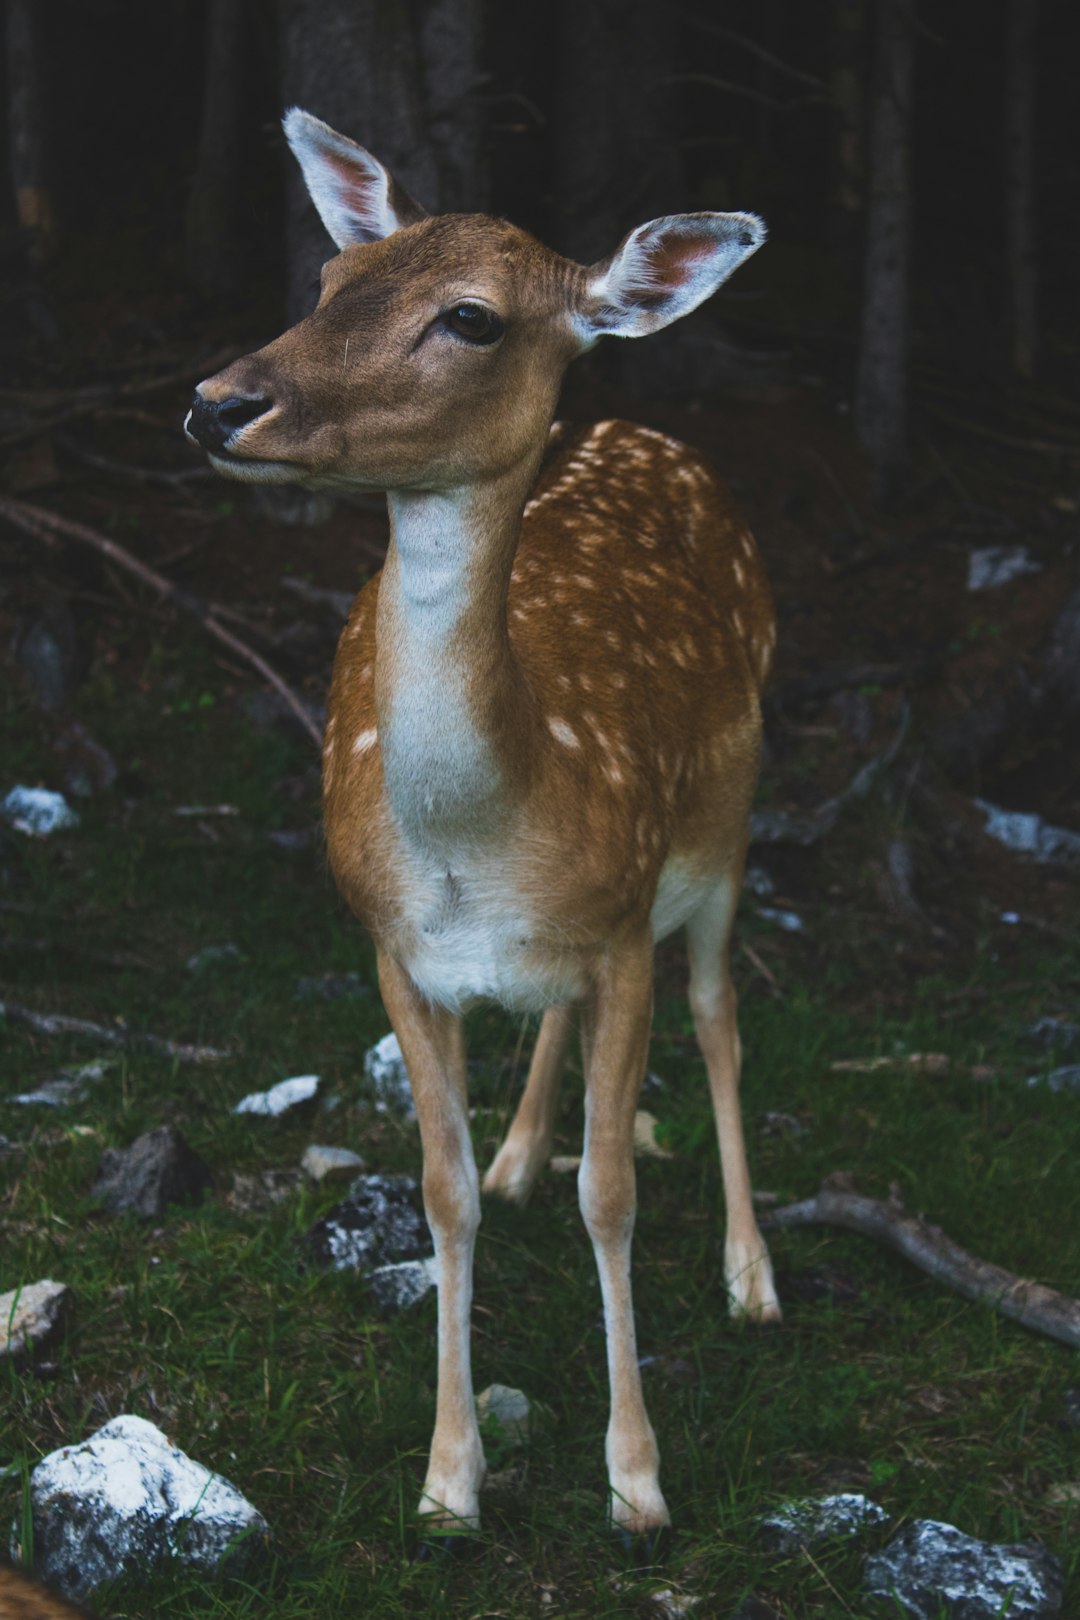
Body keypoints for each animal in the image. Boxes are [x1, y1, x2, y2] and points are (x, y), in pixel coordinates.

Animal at [183, 104, 777, 1542]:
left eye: (471, 318)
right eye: (333, 277)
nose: (218, 401)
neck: (483, 838)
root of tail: (657, 437)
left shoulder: (622, 925)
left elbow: (613, 1192)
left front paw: (637, 1481)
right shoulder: (396, 948)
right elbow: (439, 1193)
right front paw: (449, 1479)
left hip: (727, 824)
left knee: (720, 1012)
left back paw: (754, 1277)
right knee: (563, 1030)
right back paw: (520, 1154)